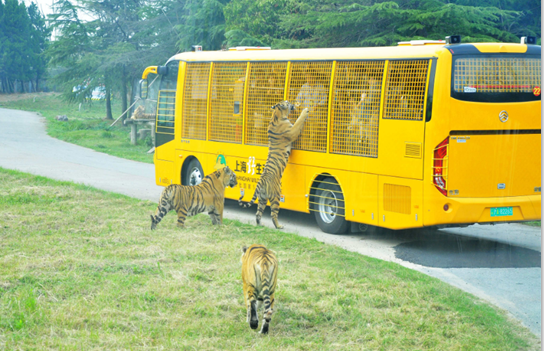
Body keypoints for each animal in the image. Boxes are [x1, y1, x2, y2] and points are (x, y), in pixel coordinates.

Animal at [239, 100, 310, 230]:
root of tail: (261, 181)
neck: (276, 115)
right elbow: (298, 122)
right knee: (273, 214)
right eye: (287, 102)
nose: (293, 103)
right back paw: (279, 226)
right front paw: (304, 111)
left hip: (262, 198)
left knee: (258, 213)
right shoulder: (292, 131)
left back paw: (260, 225)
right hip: (276, 196)